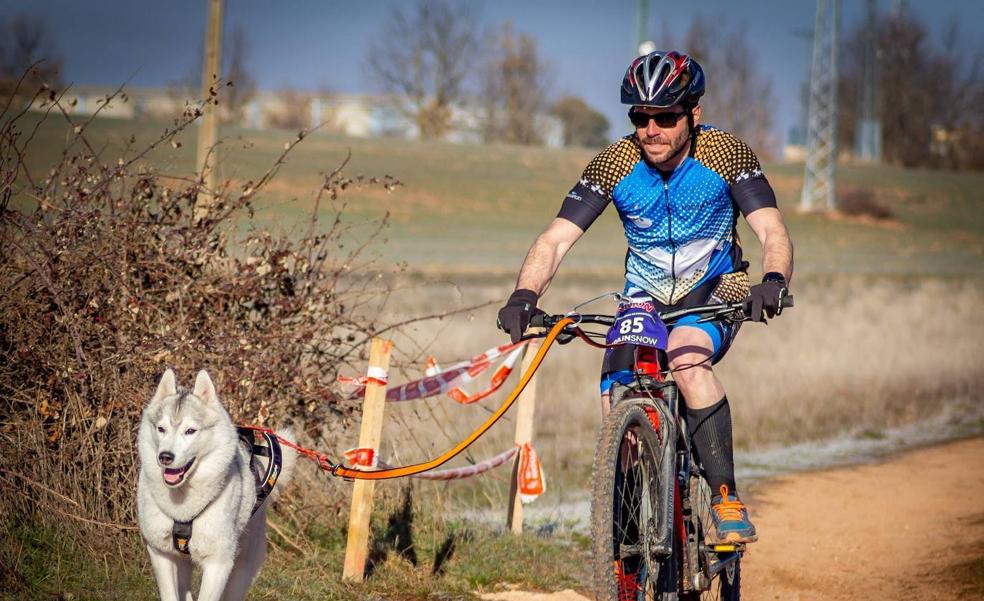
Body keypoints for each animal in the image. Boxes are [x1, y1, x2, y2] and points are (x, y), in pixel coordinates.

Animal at [138, 368, 294, 600]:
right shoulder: (161, 554)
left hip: (242, 567)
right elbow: (170, 594)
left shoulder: (218, 564)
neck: (183, 507)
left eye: (190, 431)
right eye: (161, 429)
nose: (165, 456)